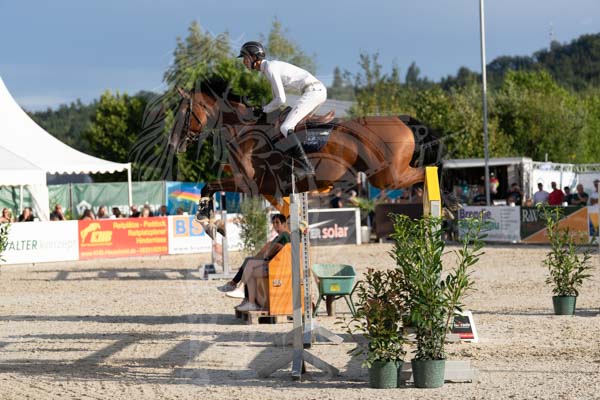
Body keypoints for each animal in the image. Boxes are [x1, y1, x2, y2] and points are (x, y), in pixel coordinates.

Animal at [170, 77, 442, 224]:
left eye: (184, 112)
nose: (173, 144)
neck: (244, 130)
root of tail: (400, 120)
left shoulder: (249, 183)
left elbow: (209, 185)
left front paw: (204, 214)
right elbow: (209, 186)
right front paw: (205, 214)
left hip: (387, 176)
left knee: (426, 173)